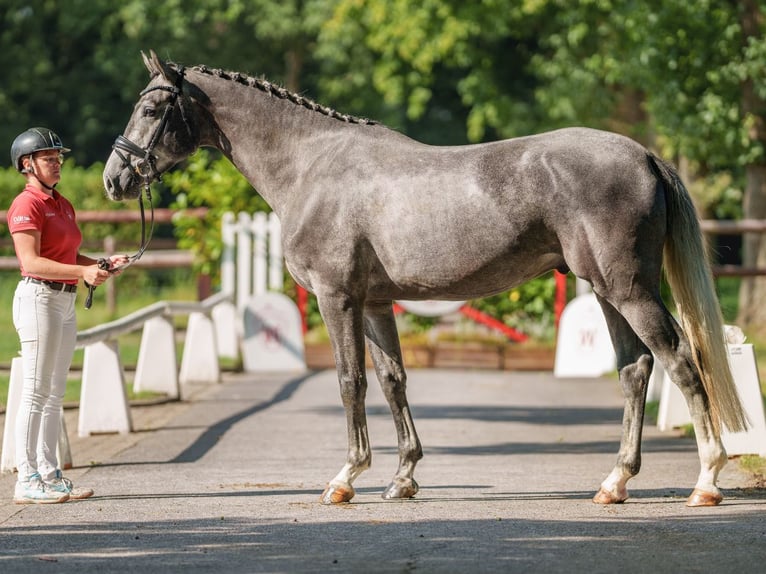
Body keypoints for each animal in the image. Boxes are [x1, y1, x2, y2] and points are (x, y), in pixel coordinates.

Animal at [103, 50, 752, 508]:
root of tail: (643, 155)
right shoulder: (374, 304)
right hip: (607, 290)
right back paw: (615, 482)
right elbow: (393, 381)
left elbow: (349, 382)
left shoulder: (337, 299)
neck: (313, 166)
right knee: (636, 369)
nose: (114, 179)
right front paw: (403, 477)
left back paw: (706, 480)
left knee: (680, 360)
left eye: (153, 109)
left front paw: (345, 478)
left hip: (628, 289)